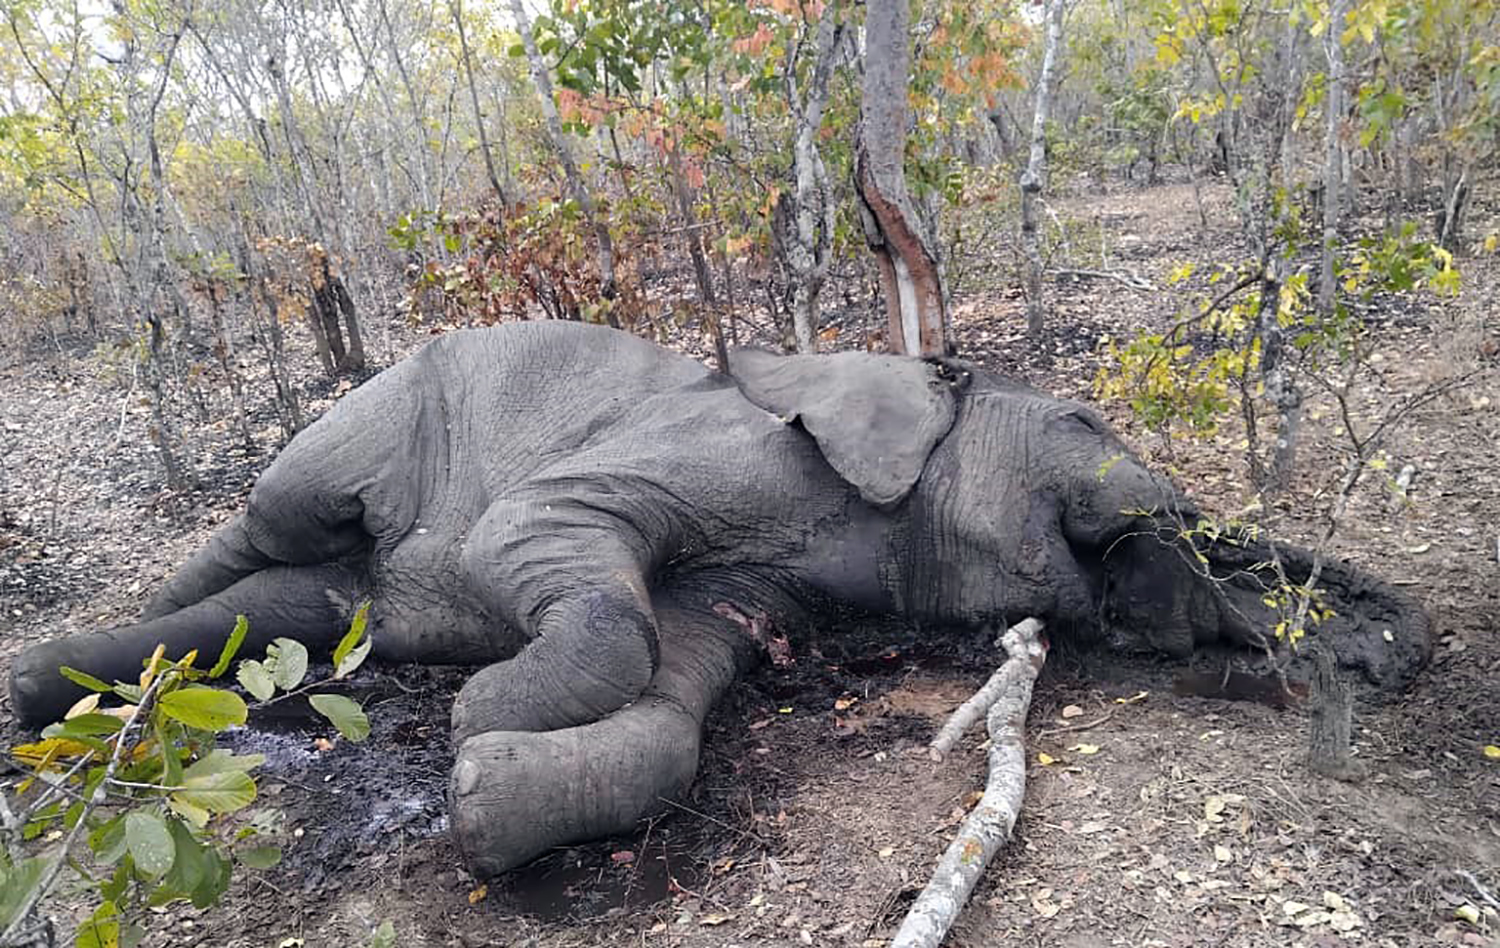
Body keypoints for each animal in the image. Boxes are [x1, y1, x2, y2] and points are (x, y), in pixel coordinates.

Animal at [8, 321, 1430, 877]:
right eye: (1084, 420)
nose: (1394, 646)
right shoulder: (717, 447)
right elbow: (570, 562)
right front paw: (476, 716)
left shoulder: (765, 581)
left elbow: (680, 693)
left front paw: (483, 792)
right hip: (371, 422)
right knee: (261, 533)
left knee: (280, 613)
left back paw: (73, 695)